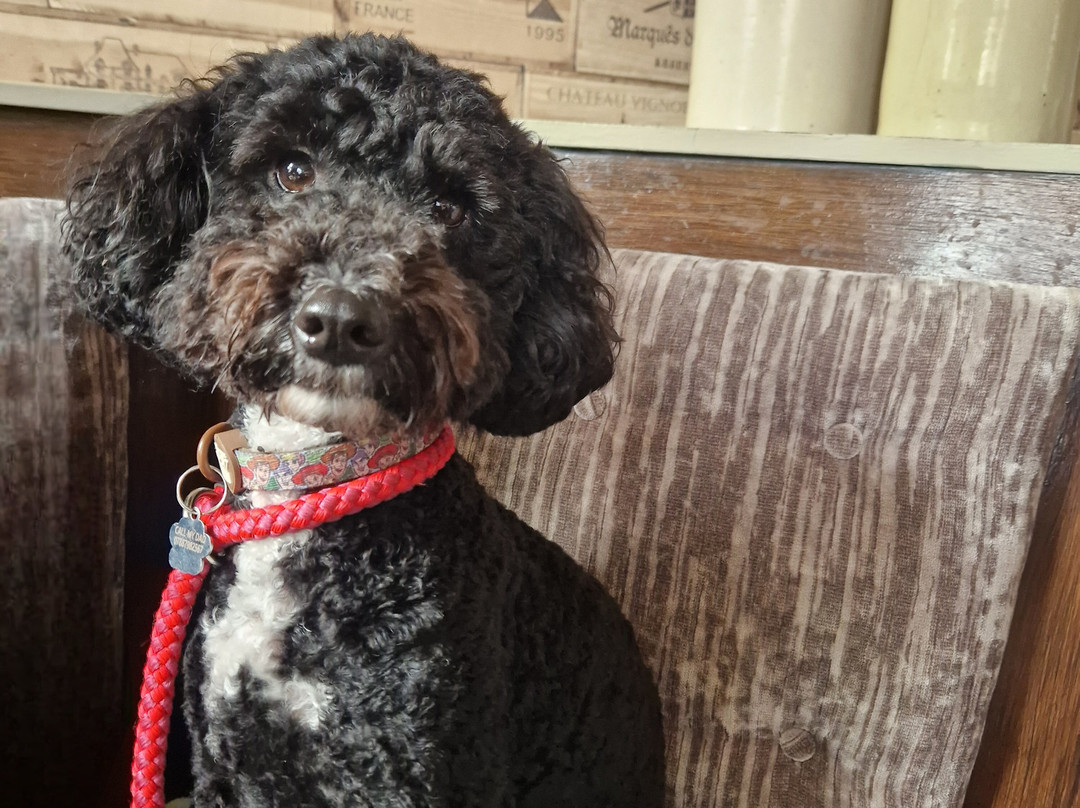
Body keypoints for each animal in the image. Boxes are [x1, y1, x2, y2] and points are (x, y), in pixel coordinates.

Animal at [63, 33, 666, 807]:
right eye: (292, 170)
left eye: (449, 208)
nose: (343, 318)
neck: (318, 484)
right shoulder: (227, 762)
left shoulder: (414, 767)